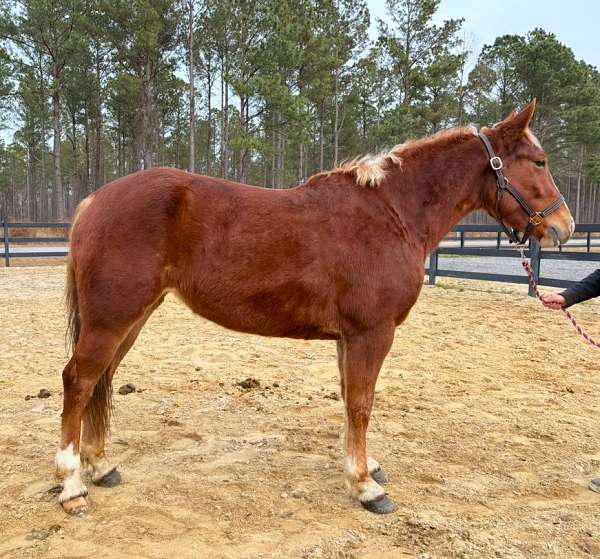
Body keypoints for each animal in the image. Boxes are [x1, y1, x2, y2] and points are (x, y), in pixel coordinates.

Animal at [57, 100, 576, 516]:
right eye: (539, 161)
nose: (564, 227)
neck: (392, 214)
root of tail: (93, 201)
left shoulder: (349, 338)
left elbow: (349, 399)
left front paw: (363, 466)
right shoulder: (372, 332)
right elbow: (362, 403)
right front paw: (366, 488)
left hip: (131, 319)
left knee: (100, 381)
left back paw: (101, 466)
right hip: (112, 319)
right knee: (78, 382)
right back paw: (71, 485)